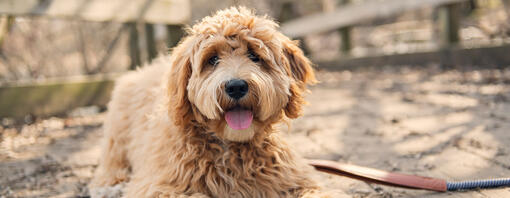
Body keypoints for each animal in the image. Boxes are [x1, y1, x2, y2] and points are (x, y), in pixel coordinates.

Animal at [90, 6, 330, 198]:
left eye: (254, 56)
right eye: (212, 59)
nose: (236, 86)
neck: (230, 147)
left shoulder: (295, 179)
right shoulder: (157, 185)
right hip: (117, 140)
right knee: (111, 167)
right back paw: (110, 187)